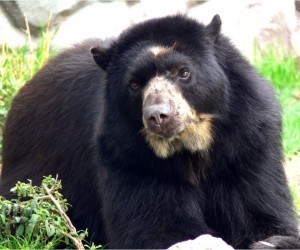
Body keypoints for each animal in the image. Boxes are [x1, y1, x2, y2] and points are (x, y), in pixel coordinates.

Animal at [0, 14, 300, 249]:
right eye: (134, 84)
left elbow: (261, 212)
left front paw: (271, 242)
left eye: (183, 72)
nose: (158, 116)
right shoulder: (130, 157)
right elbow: (155, 228)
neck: (190, 148)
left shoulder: (247, 143)